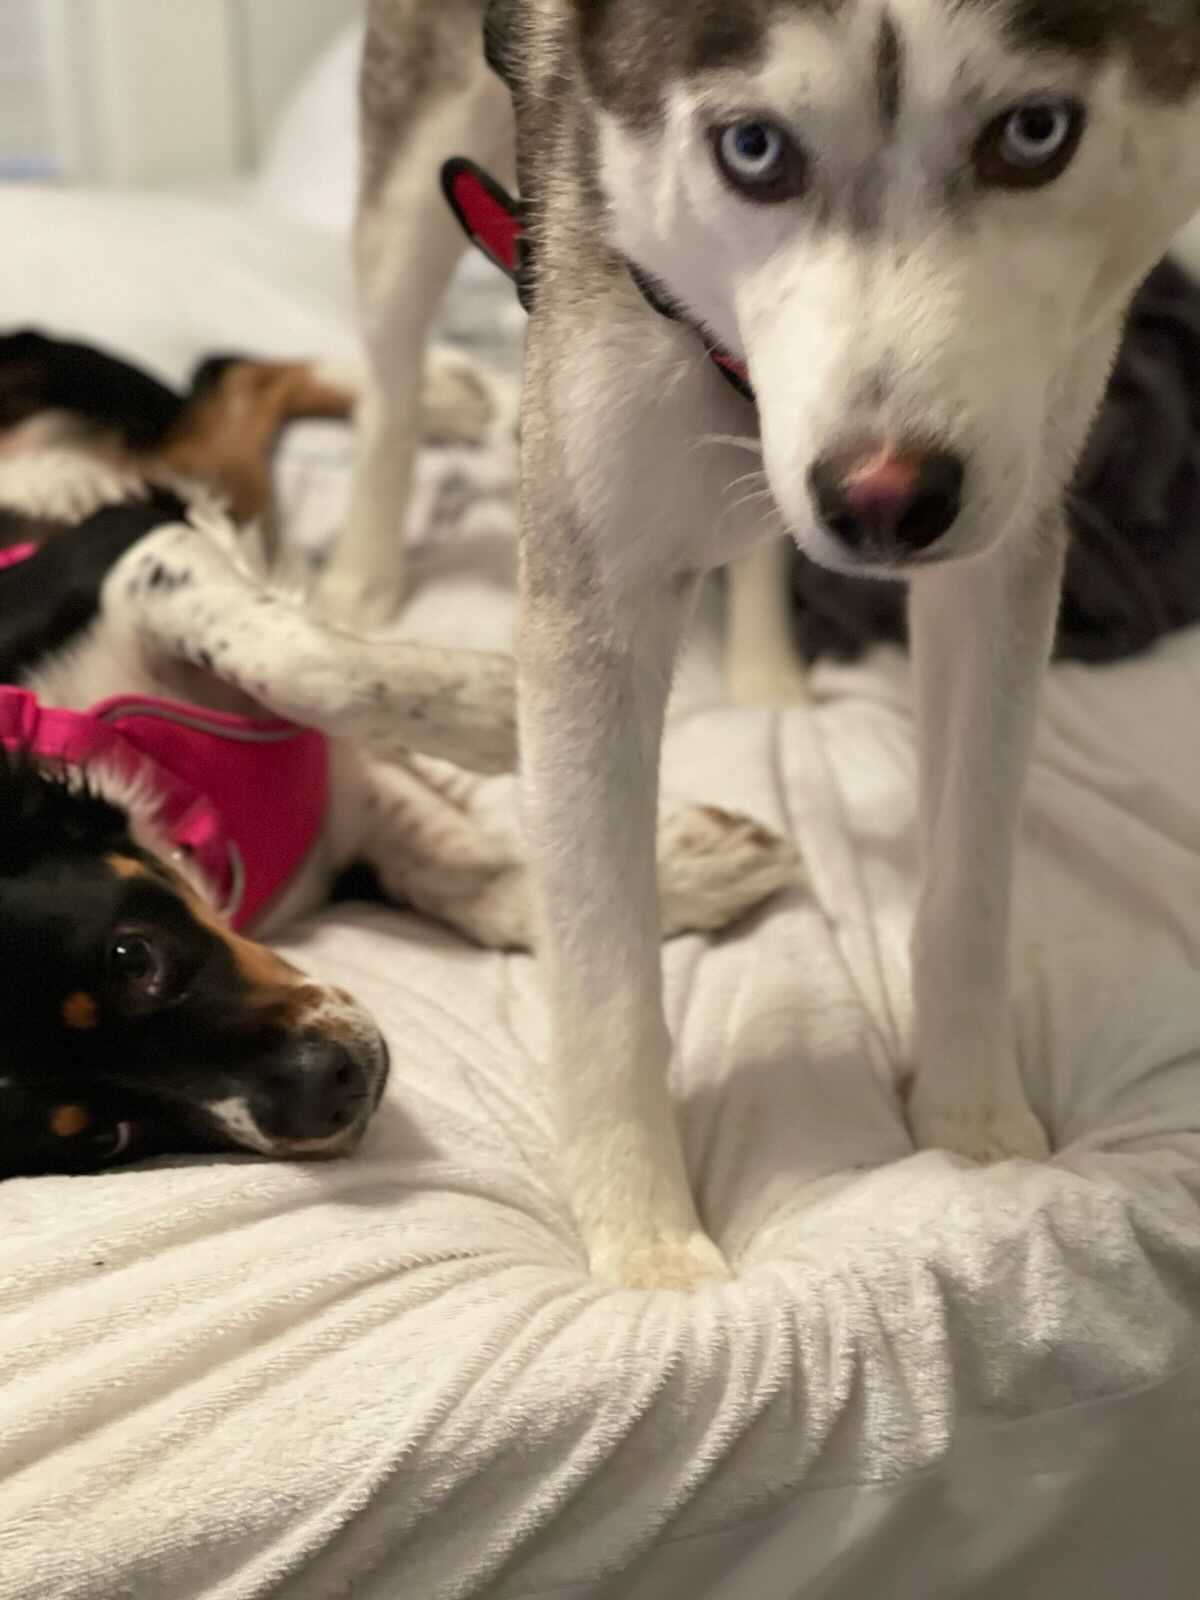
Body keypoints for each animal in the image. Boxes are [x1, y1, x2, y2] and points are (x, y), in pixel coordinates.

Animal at [0, 331, 794, 1180]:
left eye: (133, 957)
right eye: (103, 1135)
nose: (327, 1093)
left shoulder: (114, 543)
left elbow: (302, 664)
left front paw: (500, 707)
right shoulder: (344, 817)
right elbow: (484, 883)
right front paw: (694, 866)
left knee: (232, 377)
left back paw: (448, 392)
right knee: (232, 396)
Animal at [340, 1, 1200, 1290]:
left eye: (1034, 132)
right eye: (753, 150)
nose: (885, 500)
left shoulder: (1002, 543)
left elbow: (969, 875)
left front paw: (971, 1118)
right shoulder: (595, 582)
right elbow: (603, 960)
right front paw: (643, 1241)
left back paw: (765, 671)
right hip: (412, 186)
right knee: (390, 379)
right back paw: (361, 574)